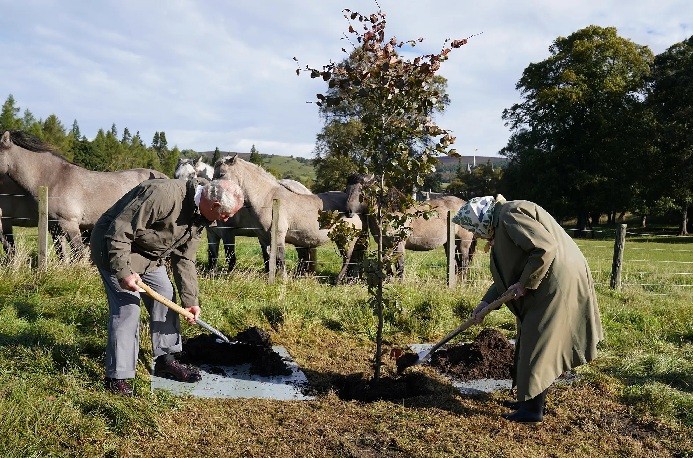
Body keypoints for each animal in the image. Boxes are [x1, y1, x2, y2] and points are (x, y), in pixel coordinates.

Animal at [342, 174, 474, 278]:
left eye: (361, 190)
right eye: (347, 190)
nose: (348, 211)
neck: (392, 213)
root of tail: (465, 204)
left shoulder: (399, 245)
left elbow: (400, 267)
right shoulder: (385, 246)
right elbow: (389, 268)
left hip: (463, 244)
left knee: (464, 264)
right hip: (449, 244)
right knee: (455, 265)